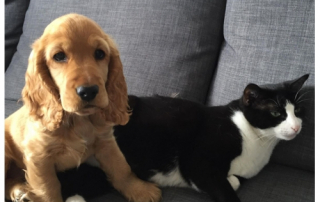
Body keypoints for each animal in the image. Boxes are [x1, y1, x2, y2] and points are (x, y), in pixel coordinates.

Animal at [4, 13, 161, 202]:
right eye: (59, 56)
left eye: (100, 53)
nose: (88, 91)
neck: (78, 120)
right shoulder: (39, 156)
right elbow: (48, 189)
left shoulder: (105, 141)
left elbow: (120, 168)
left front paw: (140, 190)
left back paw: (21, 191)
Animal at [63, 74, 310, 202]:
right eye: (276, 113)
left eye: (297, 110)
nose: (297, 127)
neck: (257, 141)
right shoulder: (199, 164)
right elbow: (223, 189)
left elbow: (236, 181)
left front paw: (232, 179)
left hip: (99, 174)